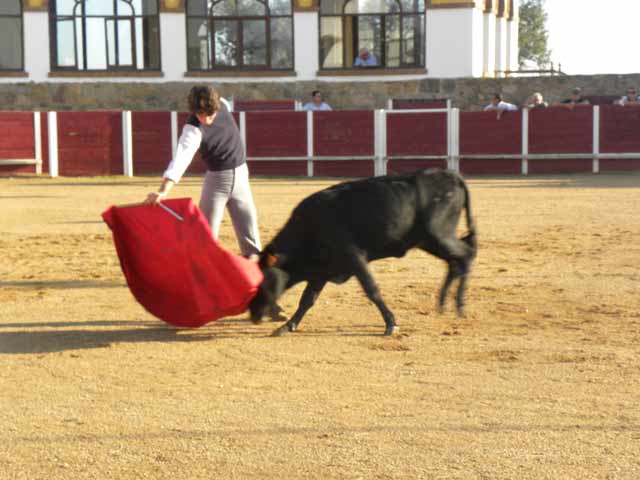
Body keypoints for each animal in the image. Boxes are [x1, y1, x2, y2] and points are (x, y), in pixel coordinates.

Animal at [249, 171, 476, 336]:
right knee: (455, 261)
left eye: (261, 280)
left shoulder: (353, 258)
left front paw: (391, 324)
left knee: (465, 255)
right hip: (429, 241)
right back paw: (444, 305)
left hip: (439, 234)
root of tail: (451, 175)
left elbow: (372, 290)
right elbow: (307, 299)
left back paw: (460, 306)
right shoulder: (321, 270)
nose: (253, 316)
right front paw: (286, 326)